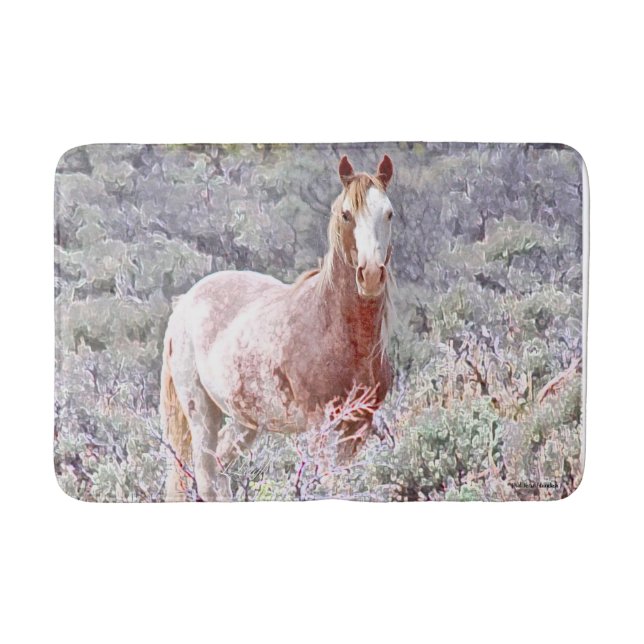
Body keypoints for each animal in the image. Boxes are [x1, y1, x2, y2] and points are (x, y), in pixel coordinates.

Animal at [160, 154, 396, 500]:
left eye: (389, 213)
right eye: (346, 214)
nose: (370, 275)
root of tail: (184, 303)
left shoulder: (358, 426)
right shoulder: (321, 426)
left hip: (245, 421)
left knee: (221, 469)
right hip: (200, 411)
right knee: (205, 476)